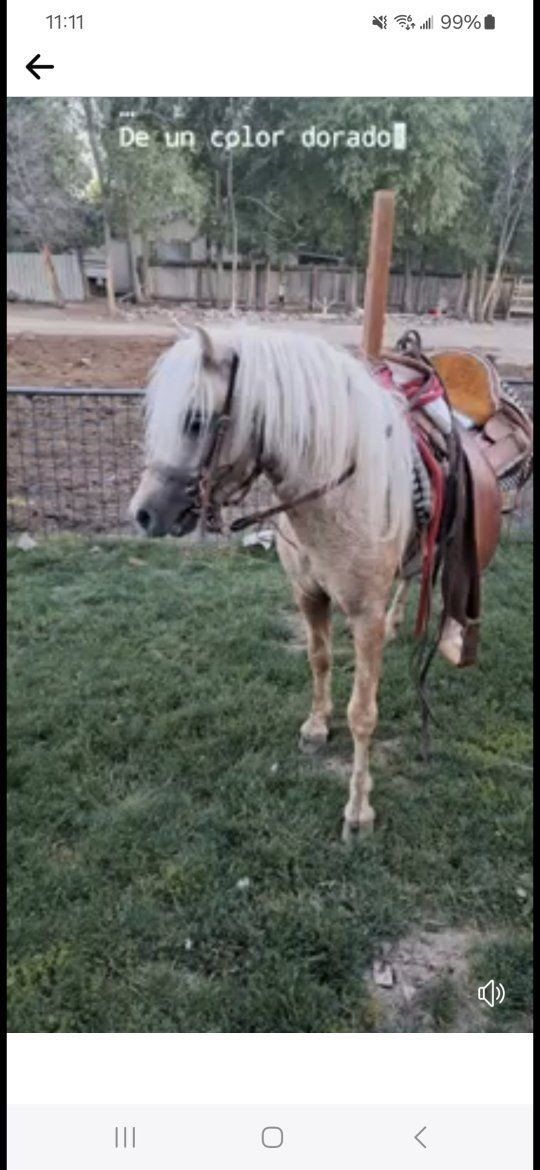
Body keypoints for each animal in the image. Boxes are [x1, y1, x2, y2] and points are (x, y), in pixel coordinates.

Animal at [130, 325, 422, 839]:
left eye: (195, 419)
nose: (141, 514)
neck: (338, 495)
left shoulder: (363, 615)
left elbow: (363, 714)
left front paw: (358, 810)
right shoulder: (308, 595)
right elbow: (318, 660)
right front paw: (316, 727)